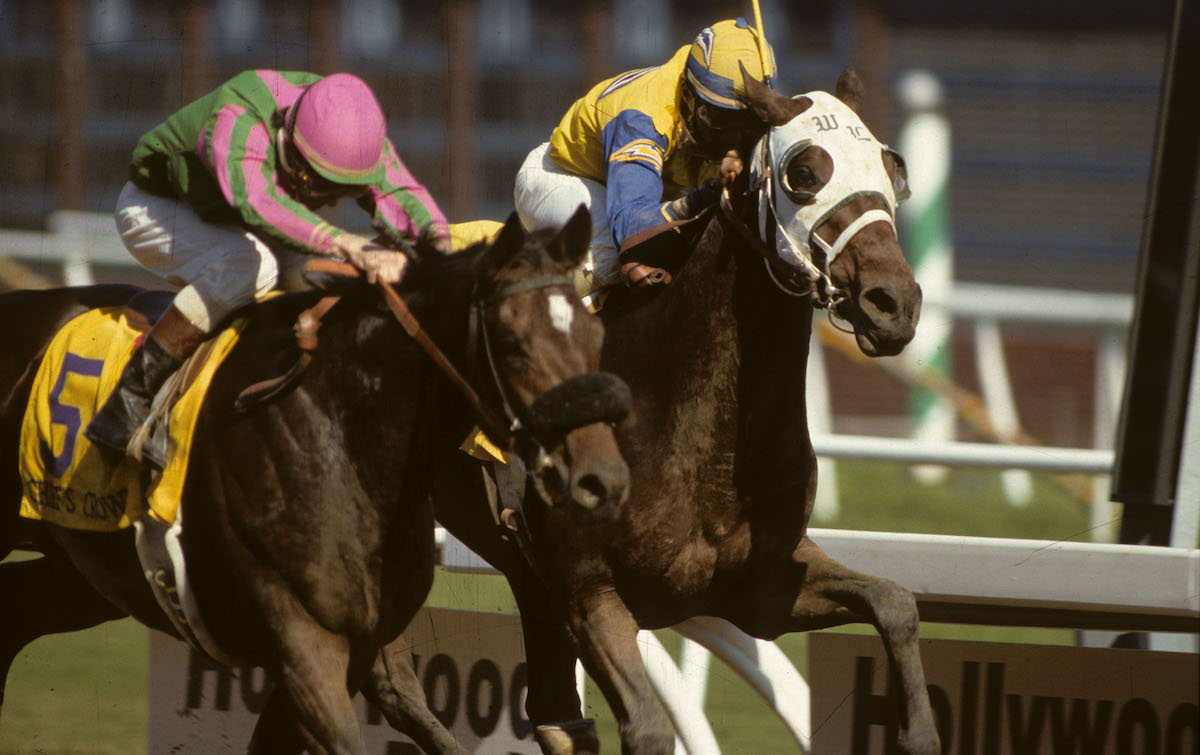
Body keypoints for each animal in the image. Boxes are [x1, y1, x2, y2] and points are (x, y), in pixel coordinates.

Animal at [0, 208, 633, 748]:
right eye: (513, 344)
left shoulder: (350, 646)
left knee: (17, 614)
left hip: (91, 573)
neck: (341, 435)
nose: (602, 478)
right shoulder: (301, 638)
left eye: (595, 337)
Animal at [384, 67, 936, 748]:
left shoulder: (761, 589)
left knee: (546, 711)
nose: (894, 303)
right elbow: (648, 729)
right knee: (393, 683)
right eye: (804, 171)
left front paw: (917, 733)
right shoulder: (591, 592)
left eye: (891, 166)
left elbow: (895, 602)